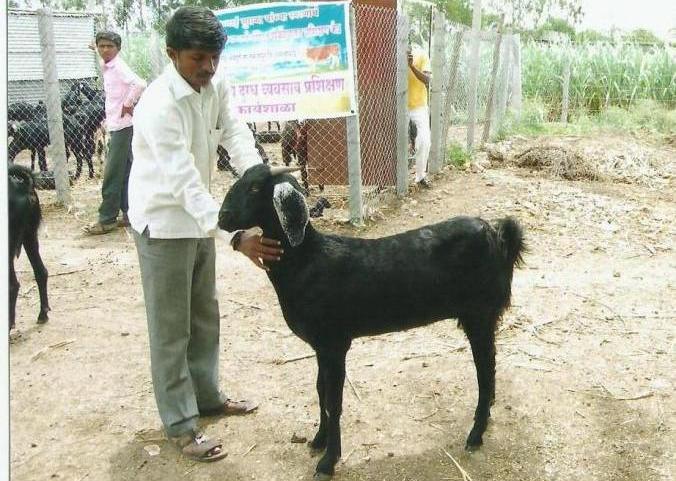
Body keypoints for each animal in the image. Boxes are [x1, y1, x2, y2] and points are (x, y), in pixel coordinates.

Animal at [218, 164, 526, 480]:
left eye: (256, 187)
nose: (222, 218)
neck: (307, 259)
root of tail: (498, 236)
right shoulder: (320, 347)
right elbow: (320, 392)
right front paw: (318, 441)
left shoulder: (335, 343)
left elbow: (334, 402)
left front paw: (328, 461)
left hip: (480, 314)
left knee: (486, 371)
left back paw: (476, 434)